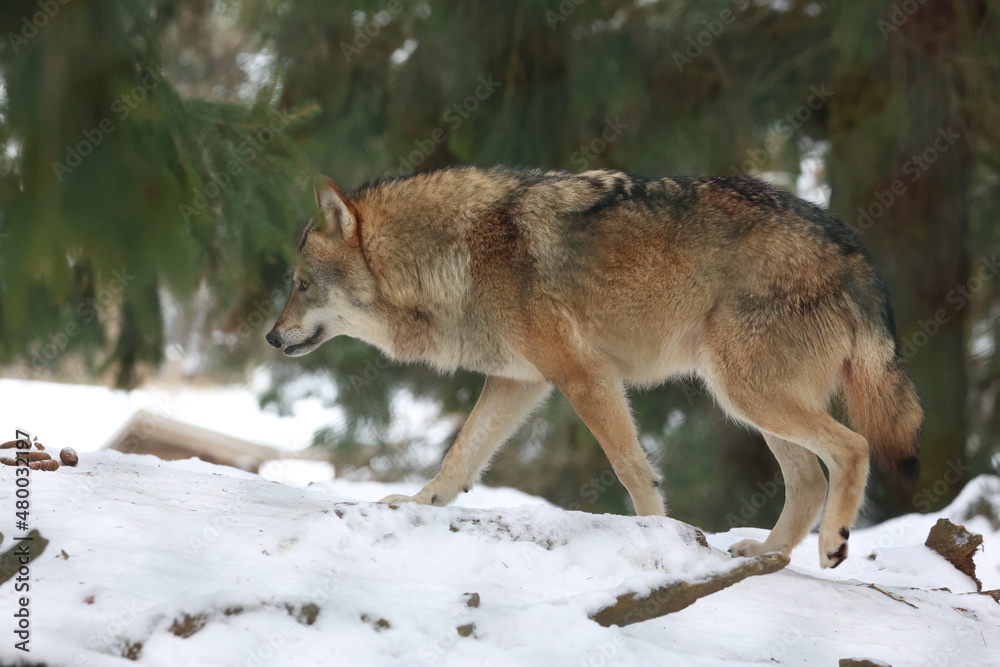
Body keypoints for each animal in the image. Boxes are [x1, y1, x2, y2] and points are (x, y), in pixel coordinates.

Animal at [266, 165, 923, 568]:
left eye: (301, 285)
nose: (271, 337)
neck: (456, 252)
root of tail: (856, 252)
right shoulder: (521, 382)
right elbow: (460, 457)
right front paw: (416, 506)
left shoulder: (583, 374)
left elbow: (632, 469)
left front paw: (662, 546)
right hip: (745, 400)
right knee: (809, 479)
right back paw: (765, 556)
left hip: (746, 394)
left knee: (853, 448)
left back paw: (831, 545)